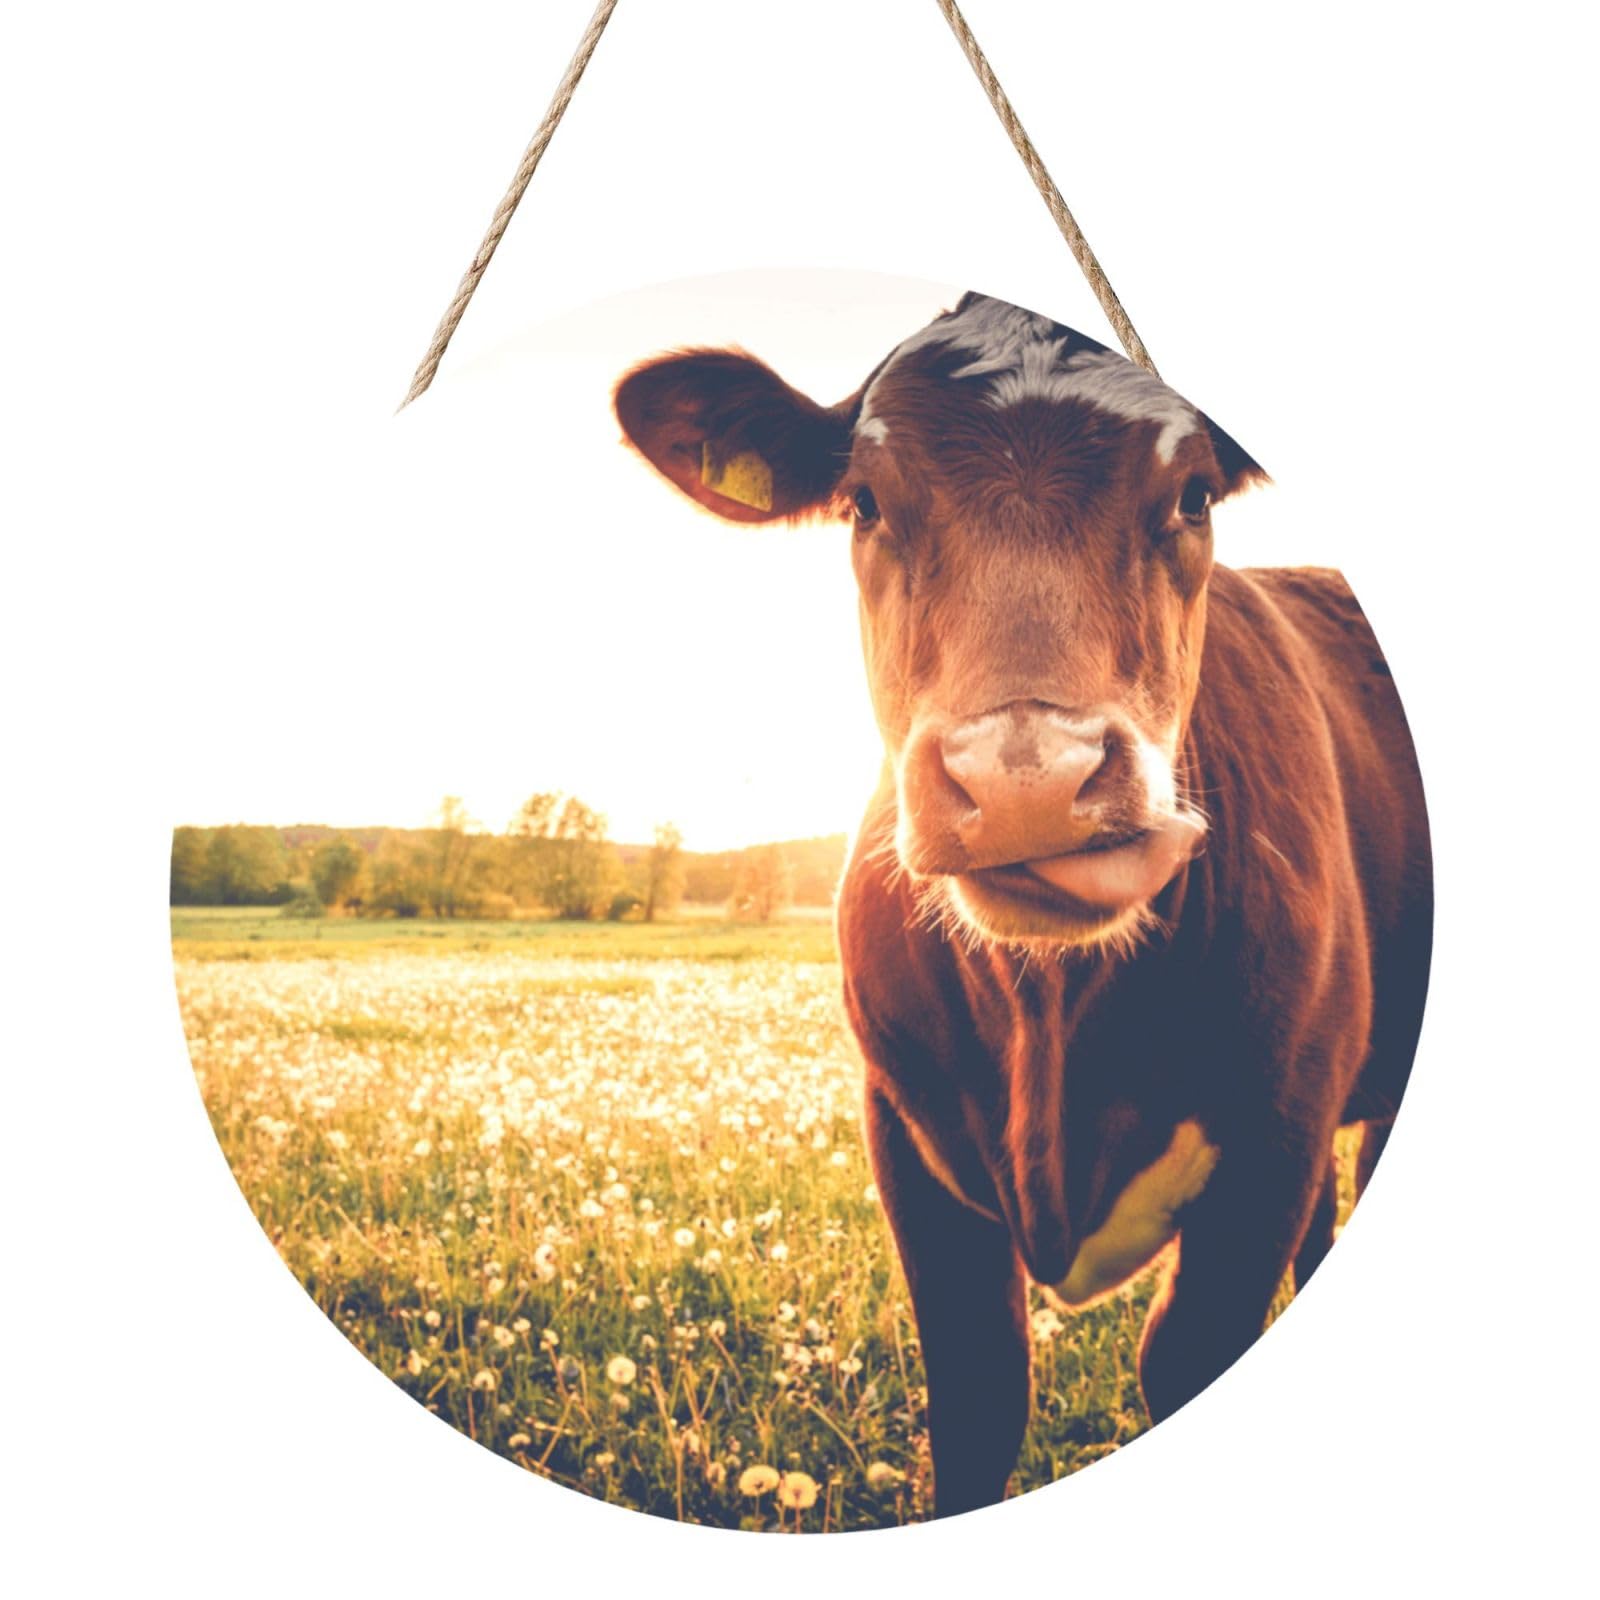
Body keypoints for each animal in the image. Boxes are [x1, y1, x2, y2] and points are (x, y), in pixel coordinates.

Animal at [613, 292, 1432, 1518]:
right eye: (864, 499)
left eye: (1192, 494)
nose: (1025, 780)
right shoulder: (903, 1132)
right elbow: (979, 1387)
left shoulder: (1273, 1138)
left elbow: (1183, 1356)